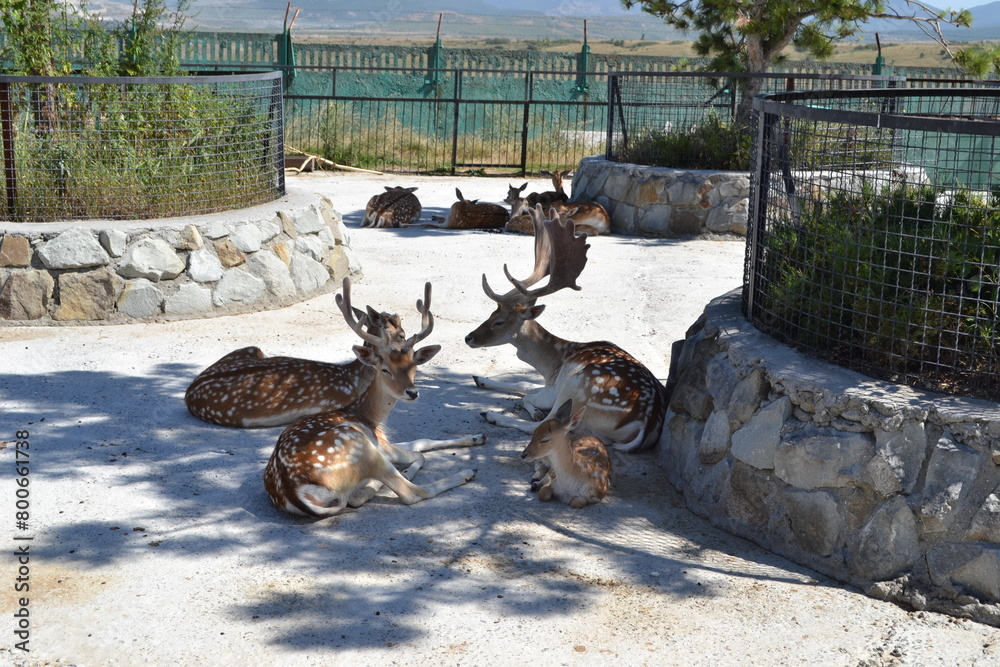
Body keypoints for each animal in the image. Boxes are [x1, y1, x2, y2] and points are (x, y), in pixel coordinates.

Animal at [264, 278, 486, 517]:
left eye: (415, 367)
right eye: (385, 369)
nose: (412, 392)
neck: (371, 418)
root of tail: (293, 491)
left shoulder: (383, 440)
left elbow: (421, 442)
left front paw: (477, 437)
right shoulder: (381, 443)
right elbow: (420, 452)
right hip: (362, 447)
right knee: (411, 492)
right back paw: (465, 472)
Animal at [465, 205, 667, 457]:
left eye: (499, 321)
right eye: (490, 314)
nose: (468, 337)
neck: (552, 363)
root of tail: (646, 424)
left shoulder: (555, 387)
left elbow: (526, 393)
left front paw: (526, 407)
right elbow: (523, 384)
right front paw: (480, 379)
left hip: (578, 388)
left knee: (545, 425)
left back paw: (492, 415)